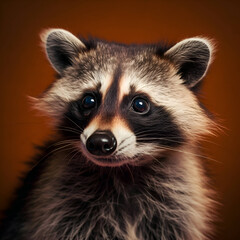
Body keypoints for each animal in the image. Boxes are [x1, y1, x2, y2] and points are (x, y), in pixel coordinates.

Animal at [0, 29, 217, 239]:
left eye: (140, 104)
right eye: (88, 101)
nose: (99, 142)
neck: (122, 171)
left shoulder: (177, 203)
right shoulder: (61, 204)